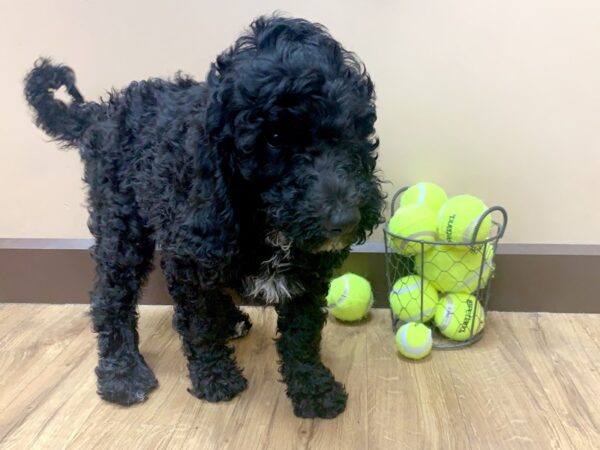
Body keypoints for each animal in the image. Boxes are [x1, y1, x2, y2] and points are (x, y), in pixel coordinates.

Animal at [24, 16, 384, 418]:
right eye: (274, 137)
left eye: (351, 129)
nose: (344, 218)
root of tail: (100, 113)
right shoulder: (191, 254)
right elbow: (199, 323)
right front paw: (215, 377)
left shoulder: (306, 270)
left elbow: (302, 333)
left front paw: (313, 387)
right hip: (121, 225)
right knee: (111, 296)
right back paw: (123, 373)